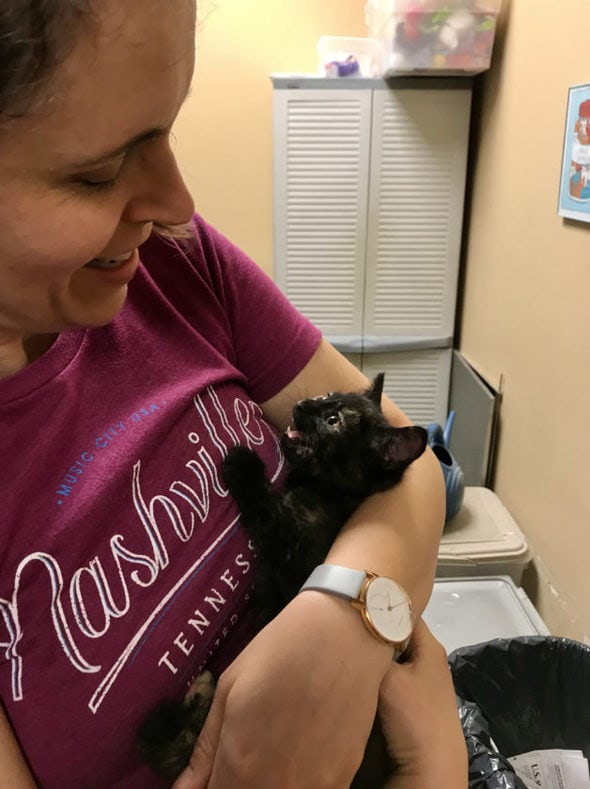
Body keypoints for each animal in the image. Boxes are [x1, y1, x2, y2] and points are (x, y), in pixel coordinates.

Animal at [138, 374, 426, 780]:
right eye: (327, 396)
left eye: (334, 421)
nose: (305, 404)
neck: (328, 493)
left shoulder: (291, 544)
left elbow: (267, 506)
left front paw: (242, 462)